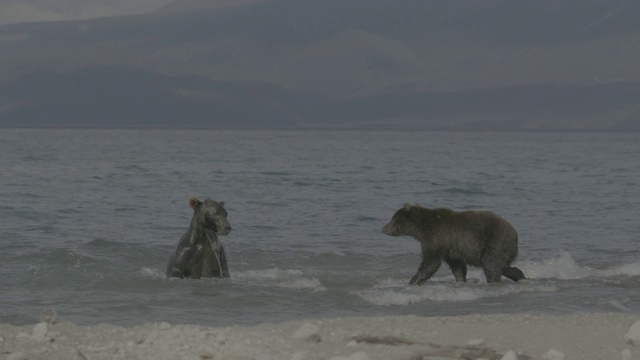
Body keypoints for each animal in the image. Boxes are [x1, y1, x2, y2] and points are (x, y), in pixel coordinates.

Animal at [380, 202, 524, 284]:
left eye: (393, 218)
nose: (384, 228)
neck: (420, 229)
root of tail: (515, 233)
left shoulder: (437, 238)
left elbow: (430, 262)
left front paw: (414, 280)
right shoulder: (452, 248)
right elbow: (457, 266)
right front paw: (460, 280)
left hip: (496, 240)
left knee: (491, 263)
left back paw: (493, 280)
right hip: (503, 248)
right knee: (503, 266)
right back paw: (520, 275)